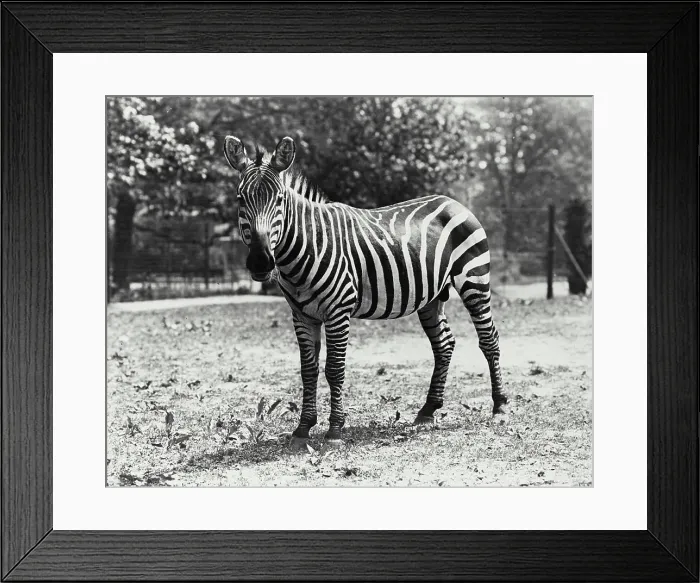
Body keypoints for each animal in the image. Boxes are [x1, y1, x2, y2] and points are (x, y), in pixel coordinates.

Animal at [223, 135, 509, 447]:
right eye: (240, 199)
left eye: (280, 200)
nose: (261, 261)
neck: (305, 247)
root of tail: (453, 202)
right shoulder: (301, 315)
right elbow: (308, 370)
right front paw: (303, 427)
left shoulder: (338, 311)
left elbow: (334, 369)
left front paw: (335, 430)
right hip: (432, 296)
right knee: (444, 344)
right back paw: (428, 410)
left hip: (474, 279)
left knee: (489, 339)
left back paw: (500, 406)